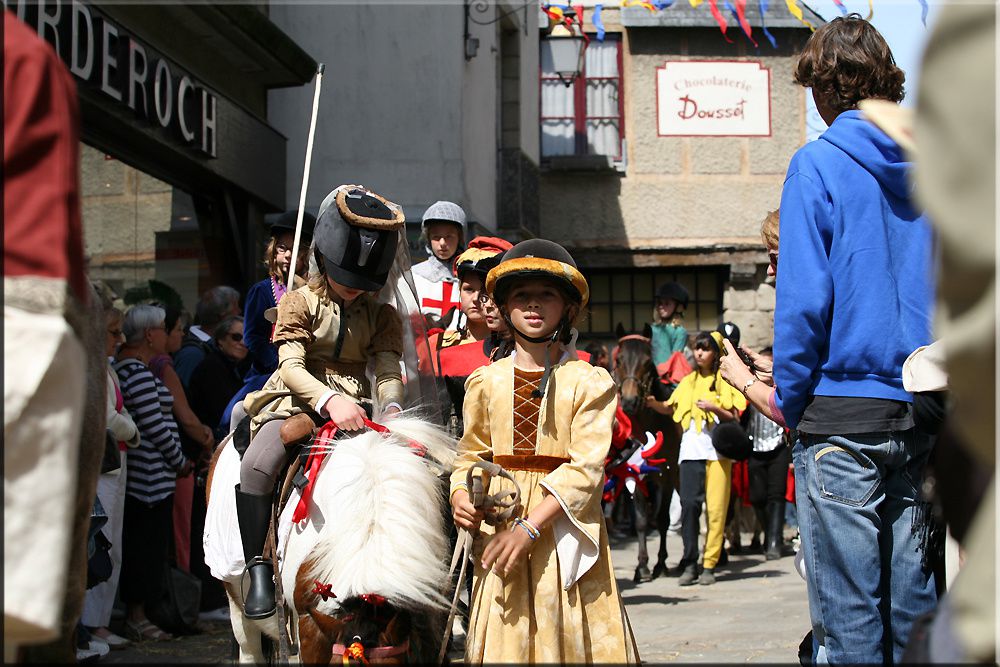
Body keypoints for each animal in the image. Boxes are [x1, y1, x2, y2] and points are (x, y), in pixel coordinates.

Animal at [608, 332, 680, 580]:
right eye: (619, 360)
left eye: (648, 362)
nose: (630, 402)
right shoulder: (635, 472)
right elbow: (640, 520)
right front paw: (642, 566)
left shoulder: (667, 476)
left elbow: (663, 519)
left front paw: (661, 564)